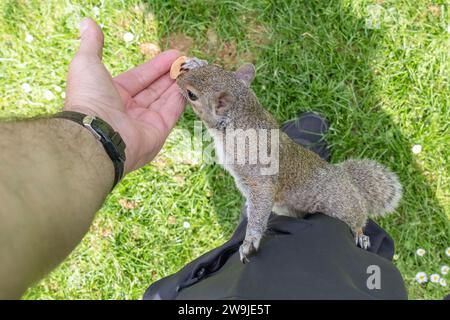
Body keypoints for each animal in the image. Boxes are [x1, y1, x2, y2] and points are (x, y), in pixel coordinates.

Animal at [175, 60, 400, 262]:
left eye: (192, 95)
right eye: (214, 67)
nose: (177, 81)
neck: (243, 117)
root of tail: (347, 178)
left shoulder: (259, 171)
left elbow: (262, 196)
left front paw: (250, 240)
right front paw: (195, 61)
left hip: (340, 204)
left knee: (357, 218)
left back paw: (361, 235)